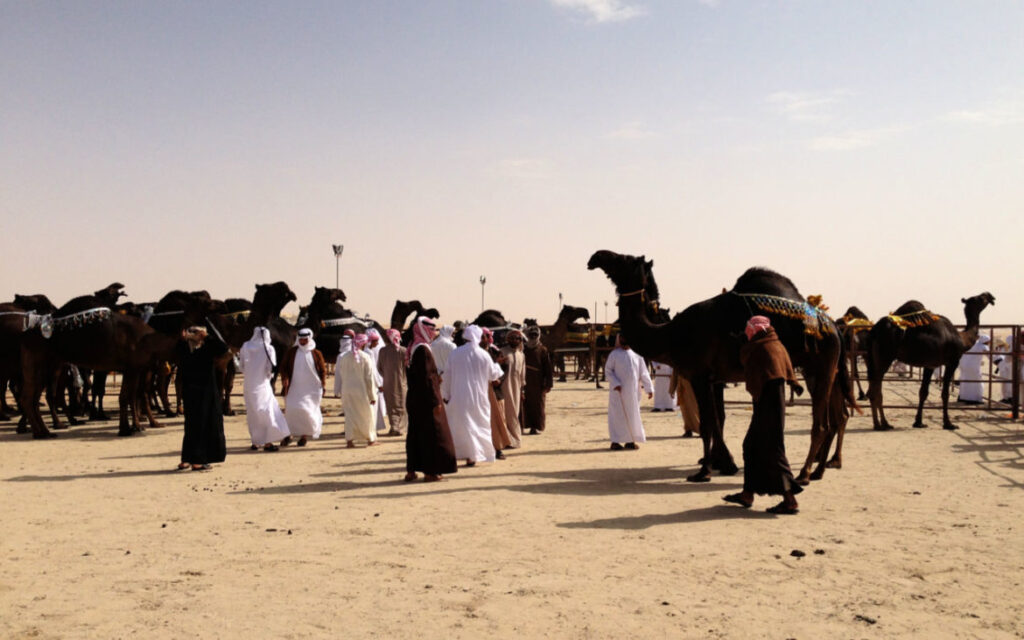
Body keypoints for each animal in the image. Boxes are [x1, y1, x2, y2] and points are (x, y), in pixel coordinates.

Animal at [589, 249, 851, 483]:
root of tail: (834, 327)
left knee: (822, 423)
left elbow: (707, 423)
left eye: (624, 259)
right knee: (831, 419)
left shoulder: (700, 375)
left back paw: (806, 473)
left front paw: (704, 471)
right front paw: (725, 463)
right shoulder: (715, 378)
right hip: (815, 369)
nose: (595, 257)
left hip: (823, 365)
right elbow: (718, 420)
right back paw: (819, 470)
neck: (672, 334)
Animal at [868, 292, 995, 430]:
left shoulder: (930, 365)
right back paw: (881, 424)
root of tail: (875, 329)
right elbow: (945, 393)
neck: (963, 339)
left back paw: (881, 423)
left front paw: (918, 422)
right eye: (980, 298)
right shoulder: (952, 362)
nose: (990, 296)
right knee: (876, 390)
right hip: (884, 357)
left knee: (873, 389)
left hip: (874, 359)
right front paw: (948, 424)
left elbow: (923, 392)